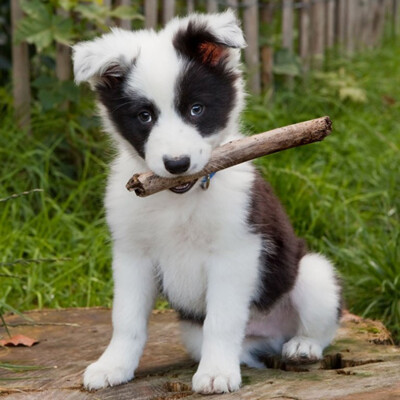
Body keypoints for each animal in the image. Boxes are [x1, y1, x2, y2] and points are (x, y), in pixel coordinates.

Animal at [72, 10, 340, 394]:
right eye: (144, 116)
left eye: (196, 109)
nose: (177, 164)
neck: (178, 200)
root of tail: (271, 334)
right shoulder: (132, 255)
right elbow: (126, 319)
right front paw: (113, 366)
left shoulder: (234, 251)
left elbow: (222, 320)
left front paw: (216, 374)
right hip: (192, 331)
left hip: (313, 274)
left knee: (322, 326)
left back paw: (302, 346)